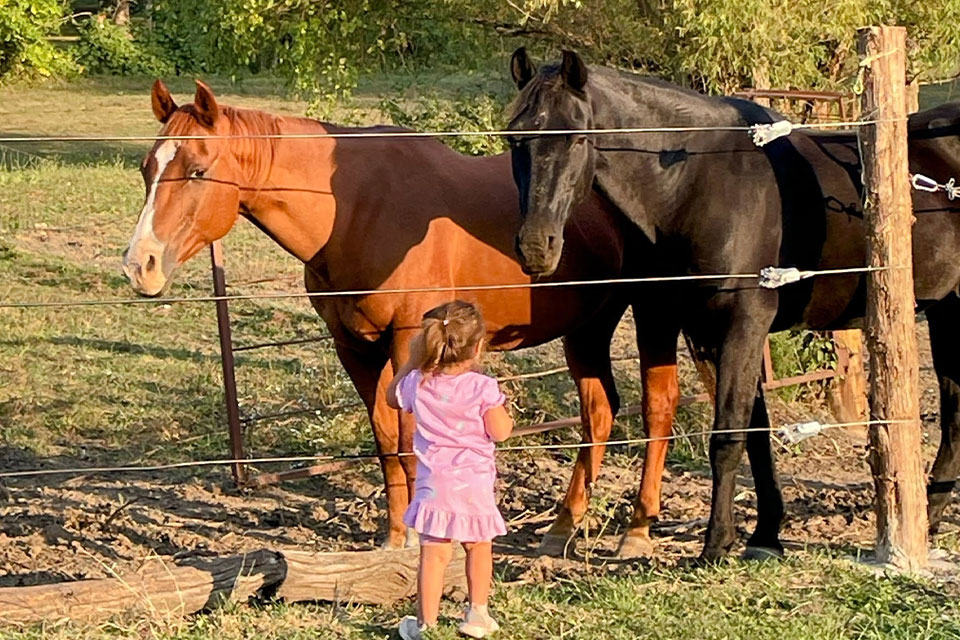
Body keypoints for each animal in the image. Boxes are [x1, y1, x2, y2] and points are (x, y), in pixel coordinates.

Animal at [121, 79, 682, 553]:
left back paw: (637, 529)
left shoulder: (409, 338)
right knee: (600, 414)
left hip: (652, 313)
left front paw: (419, 533)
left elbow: (413, 441)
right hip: (588, 326)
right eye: (148, 169)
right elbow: (388, 441)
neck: (353, 209)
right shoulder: (353, 346)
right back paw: (564, 526)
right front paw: (394, 537)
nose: (139, 264)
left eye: (198, 170)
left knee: (657, 409)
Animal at [505, 48, 960, 560]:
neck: (698, 183)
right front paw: (764, 535)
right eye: (514, 136)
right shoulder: (697, 329)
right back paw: (931, 518)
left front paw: (715, 544)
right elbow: (753, 434)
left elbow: (727, 435)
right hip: (946, 310)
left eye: (578, 136)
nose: (536, 247)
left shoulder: (743, 323)